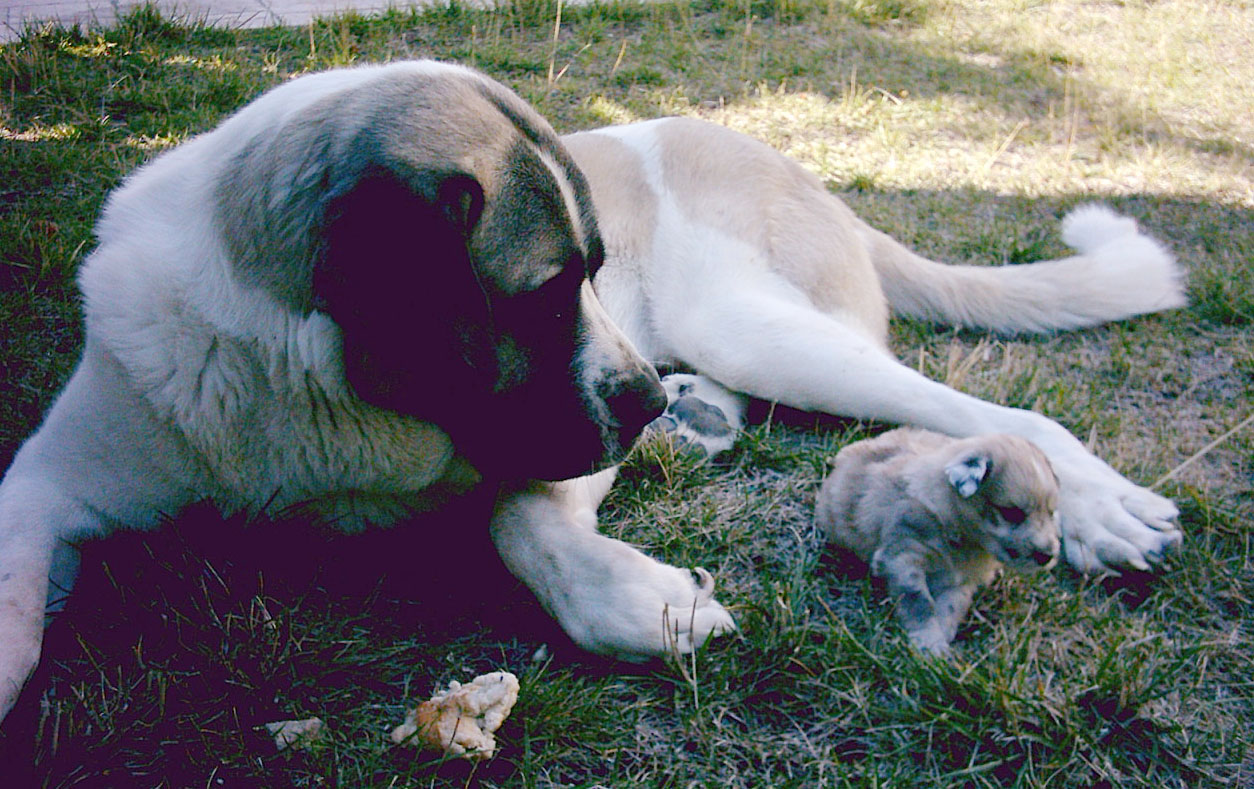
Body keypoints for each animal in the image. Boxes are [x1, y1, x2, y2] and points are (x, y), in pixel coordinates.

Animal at [0, 61, 1183, 722]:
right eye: (546, 292)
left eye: (596, 272)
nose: (645, 407)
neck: (320, 392)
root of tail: (798, 169)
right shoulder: (50, 476)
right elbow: (16, 594)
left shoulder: (560, 449)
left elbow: (522, 520)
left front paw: (645, 605)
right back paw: (702, 416)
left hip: (756, 327)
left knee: (993, 414)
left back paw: (1095, 509)